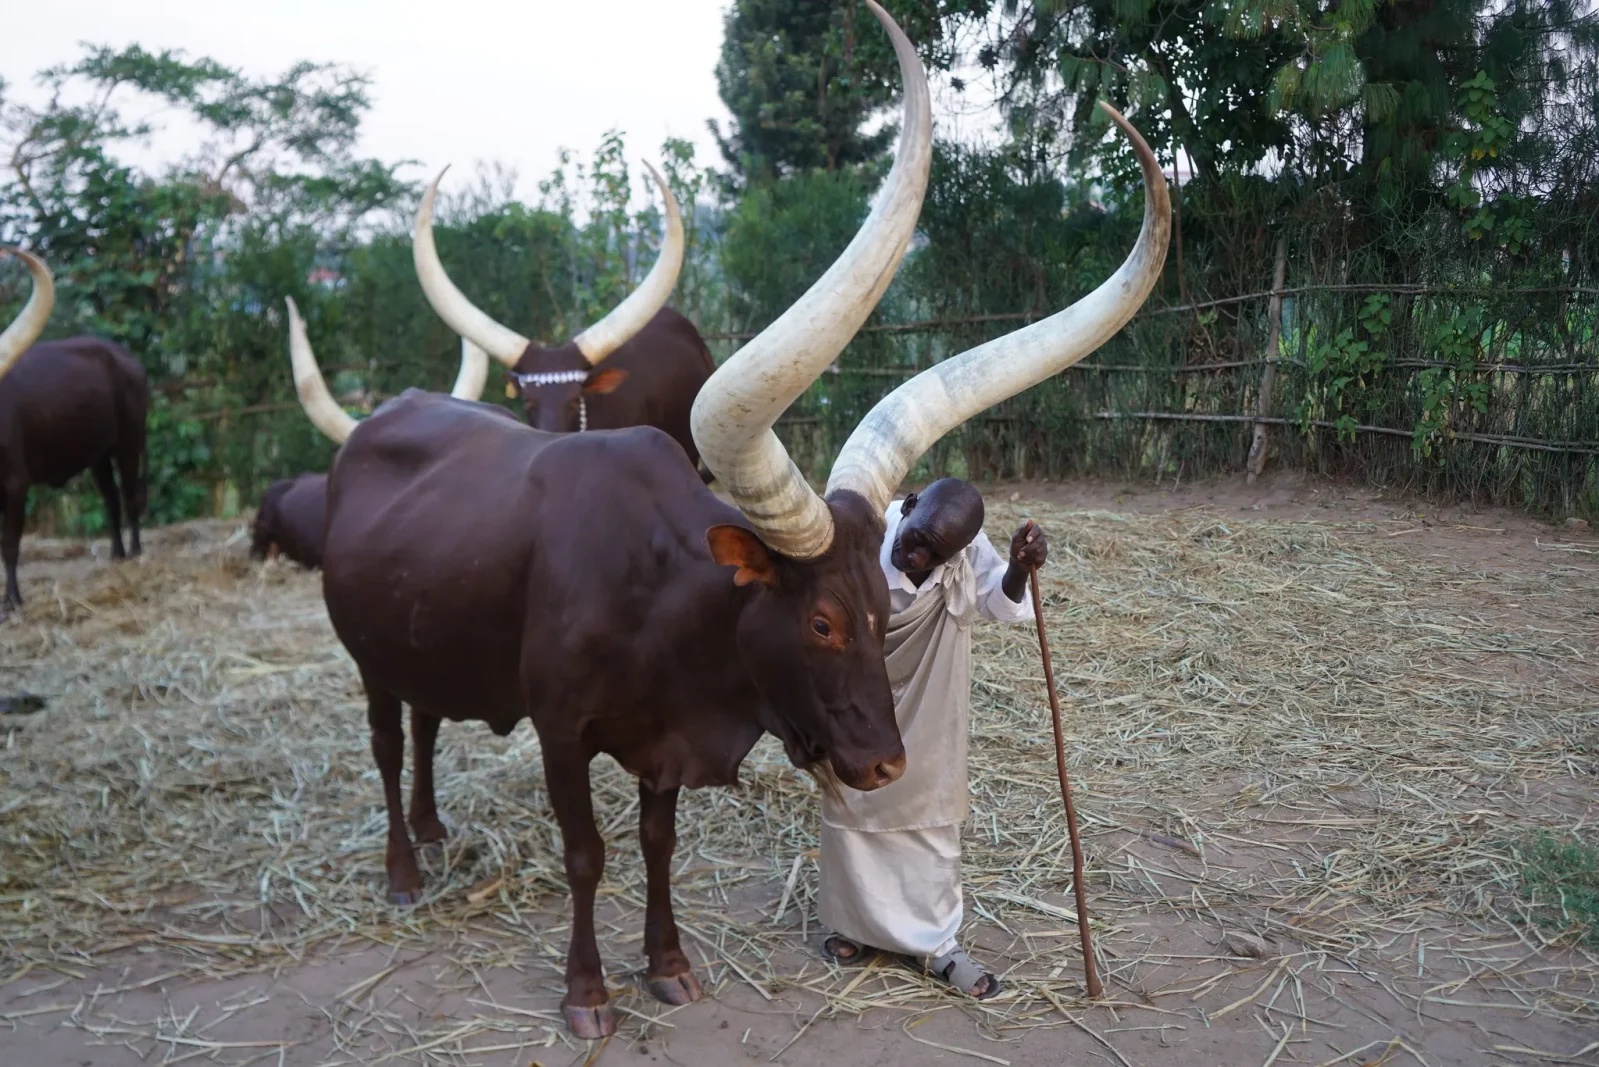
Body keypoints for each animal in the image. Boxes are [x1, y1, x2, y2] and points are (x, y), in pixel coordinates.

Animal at [0, 248, 149, 614]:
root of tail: (125, 358)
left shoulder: (16, 484)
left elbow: (9, 544)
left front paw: (12, 600)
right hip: (99, 456)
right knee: (111, 499)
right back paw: (116, 553)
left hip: (128, 443)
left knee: (129, 496)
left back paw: (135, 551)